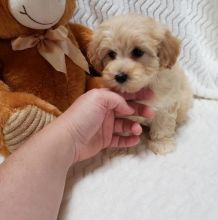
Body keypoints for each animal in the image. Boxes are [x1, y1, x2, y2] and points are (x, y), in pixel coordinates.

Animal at [87, 14, 193, 155]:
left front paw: (161, 143)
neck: (142, 85)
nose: (120, 76)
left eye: (137, 52)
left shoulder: (166, 104)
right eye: (111, 54)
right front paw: (121, 145)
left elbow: (162, 125)